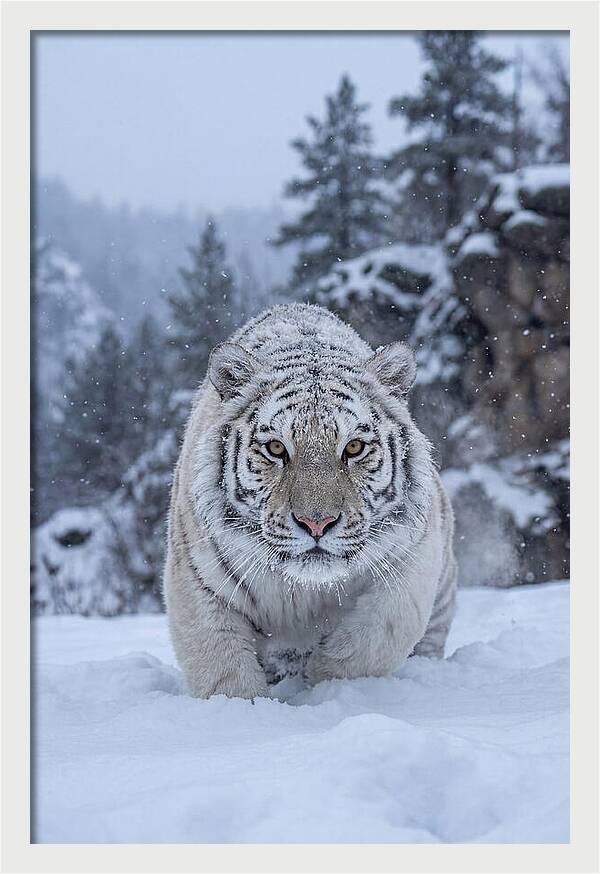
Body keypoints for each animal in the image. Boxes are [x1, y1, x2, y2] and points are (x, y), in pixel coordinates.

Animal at [163, 303, 457, 699]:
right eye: (275, 448)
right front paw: (245, 708)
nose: (317, 523)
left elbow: (374, 639)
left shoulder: (411, 559)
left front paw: (325, 681)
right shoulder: (198, 581)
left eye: (354, 447)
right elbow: (223, 670)